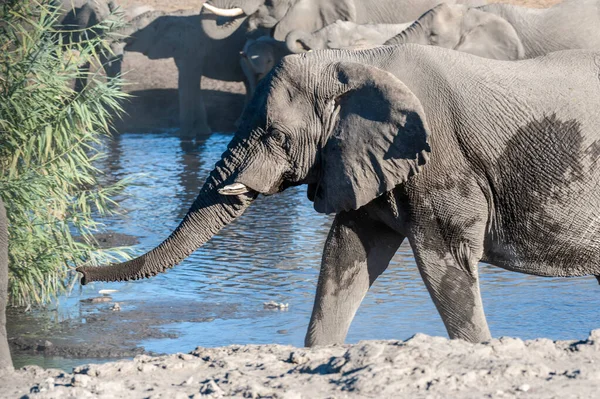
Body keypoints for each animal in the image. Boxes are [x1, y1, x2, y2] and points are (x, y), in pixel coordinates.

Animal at [76, 45, 600, 346]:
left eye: (275, 135)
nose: (78, 275)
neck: (360, 61)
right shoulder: (366, 164)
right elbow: (345, 255)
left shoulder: (441, 166)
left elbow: (445, 264)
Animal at [122, 9, 262, 139]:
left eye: (139, 29)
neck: (167, 16)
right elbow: (193, 84)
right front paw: (203, 133)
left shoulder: (191, 47)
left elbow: (185, 83)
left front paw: (182, 136)